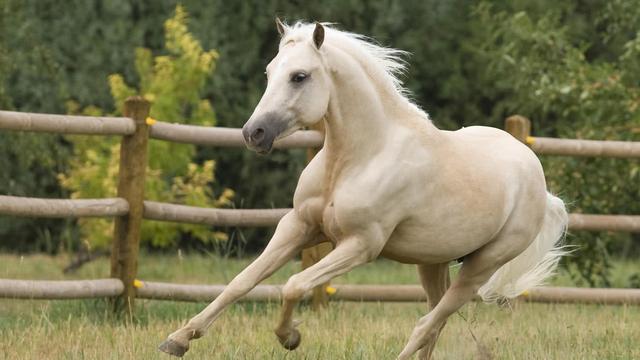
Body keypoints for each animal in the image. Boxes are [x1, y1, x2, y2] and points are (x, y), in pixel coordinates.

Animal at [159, 21, 564, 358]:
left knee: (426, 324)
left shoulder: (360, 245)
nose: (253, 133)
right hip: (432, 262)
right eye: (270, 72)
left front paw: (290, 337)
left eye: (299, 76)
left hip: (481, 266)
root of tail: (539, 183)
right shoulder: (298, 226)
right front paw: (178, 340)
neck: (358, 158)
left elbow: (294, 284)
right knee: (436, 322)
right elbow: (241, 281)